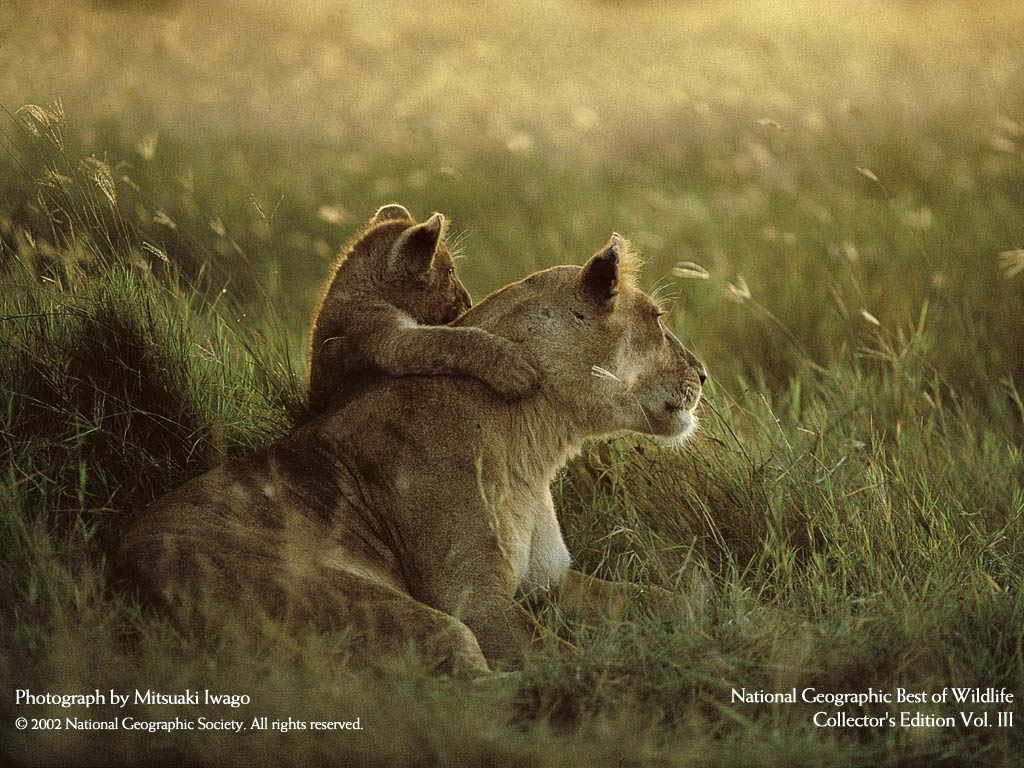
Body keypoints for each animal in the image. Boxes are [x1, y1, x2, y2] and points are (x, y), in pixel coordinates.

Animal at [118, 233, 707, 674]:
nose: (703, 374)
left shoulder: (550, 582)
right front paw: (641, 673)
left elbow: (672, 599)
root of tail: (123, 582)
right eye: (658, 318)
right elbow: (560, 657)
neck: (536, 442)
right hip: (399, 614)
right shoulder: (472, 598)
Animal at [306, 203, 540, 415]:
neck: (367, 290)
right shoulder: (383, 338)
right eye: (450, 272)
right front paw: (512, 366)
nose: (469, 301)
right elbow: (447, 340)